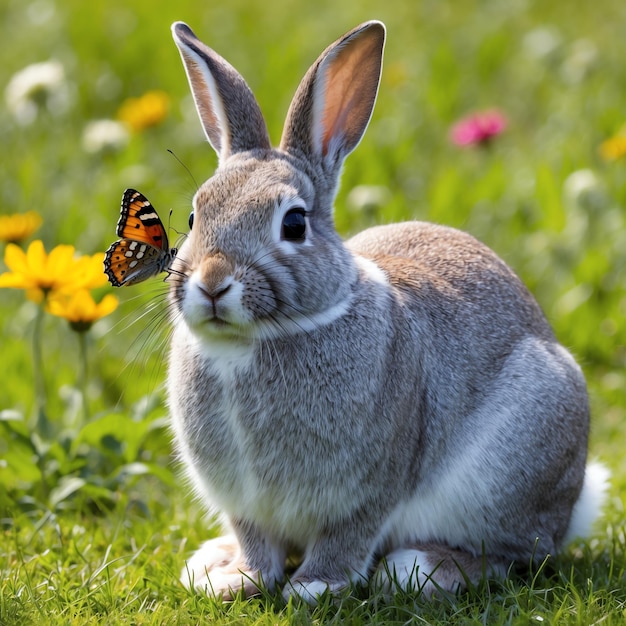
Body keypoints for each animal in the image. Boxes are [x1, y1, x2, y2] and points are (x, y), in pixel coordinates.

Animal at [166, 20, 604, 604]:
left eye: (294, 224)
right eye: (195, 217)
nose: (213, 283)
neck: (253, 340)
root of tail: (575, 504)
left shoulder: (368, 488)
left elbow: (347, 536)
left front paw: (314, 587)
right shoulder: (246, 503)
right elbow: (256, 541)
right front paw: (237, 578)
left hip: (514, 461)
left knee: (515, 556)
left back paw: (419, 567)